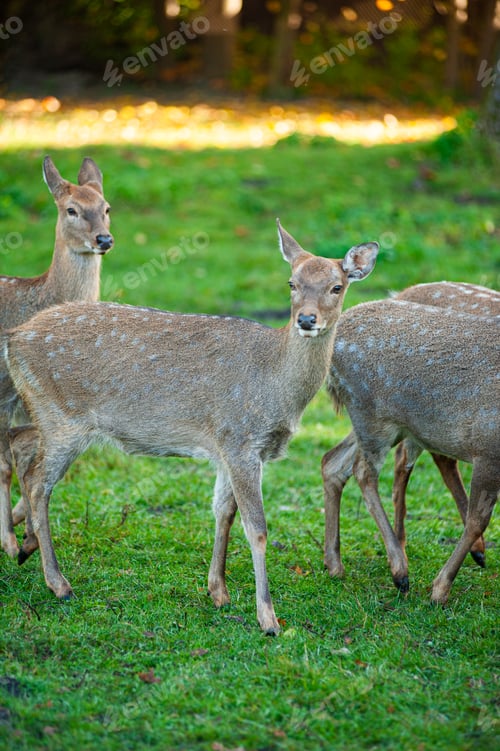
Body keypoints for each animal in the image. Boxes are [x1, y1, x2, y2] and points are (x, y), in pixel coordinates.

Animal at [0, 156, 113, 559]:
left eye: (107, 208)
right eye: (71, 209)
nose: (104, 239)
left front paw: (26, 539)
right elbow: (6, 464)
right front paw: (12, 542)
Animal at [3, 222, 378, 634]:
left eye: (337, 287)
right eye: (292, 283)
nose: (307, 320)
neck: (278, 386)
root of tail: (14, 339)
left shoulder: (226, 446)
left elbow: (222, 511)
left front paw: (219, 591)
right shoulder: (241, 440)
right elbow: (257, 528)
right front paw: (268, 618)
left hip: (47, 414)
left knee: (21, 448)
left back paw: (27, 549)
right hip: (62, 416)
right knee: (38, 482)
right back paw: (58, 583)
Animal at [322, 297, 499, 605]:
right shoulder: (487, 448)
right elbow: (477, 520)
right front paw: (439, 589)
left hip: (387, 425)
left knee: (332, 462)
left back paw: (334, 564)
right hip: (371, 414)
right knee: (362, 472)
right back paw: (400, 571)